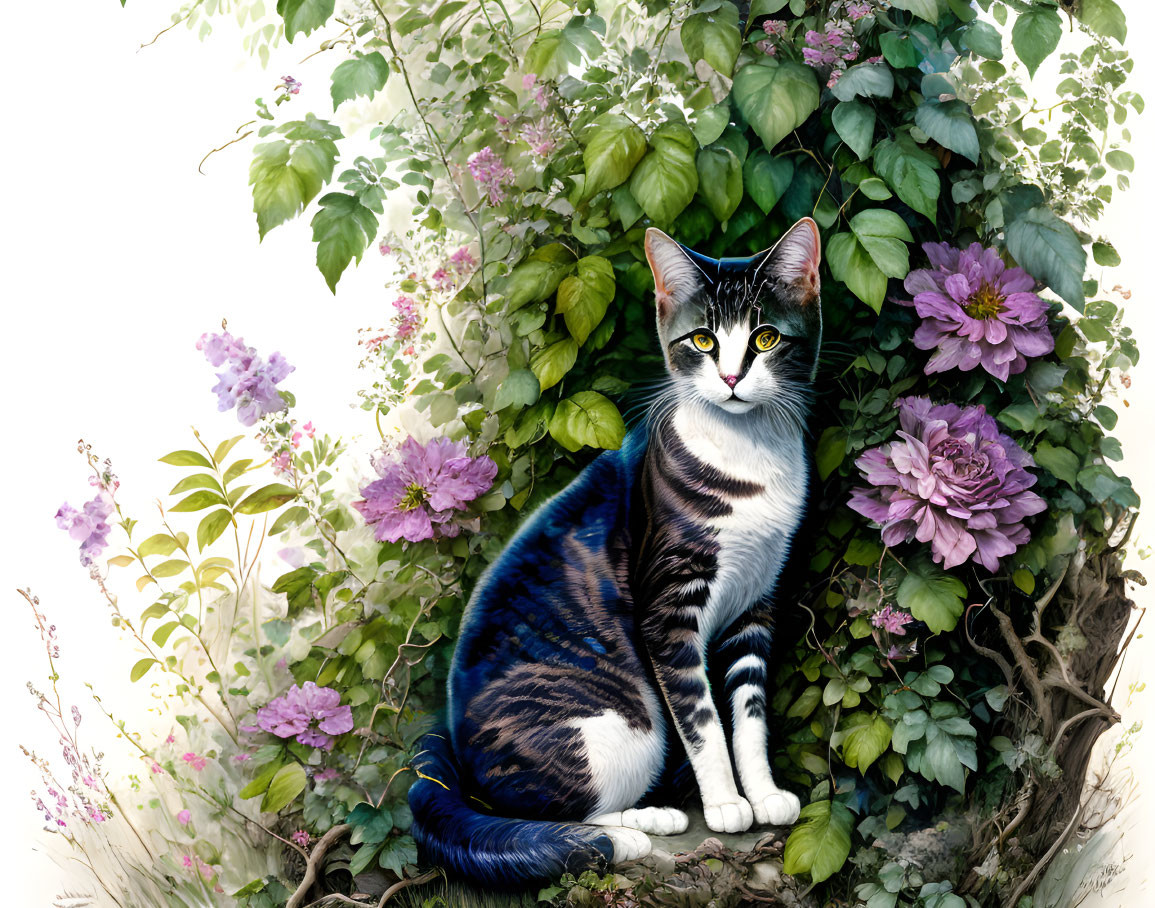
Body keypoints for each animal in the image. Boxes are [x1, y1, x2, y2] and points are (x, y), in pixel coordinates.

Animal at [406, 216, 822, 882]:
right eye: (703, 341)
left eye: (764, 338)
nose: (732, 379)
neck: (749, 454)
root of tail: (451, 759)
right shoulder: (667, 609)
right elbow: (702, 718)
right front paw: (726, 803)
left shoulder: (756, 601)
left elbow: (750, 712)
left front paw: (761, 794)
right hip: (623, 726)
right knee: (549, 808)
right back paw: (635, 830)